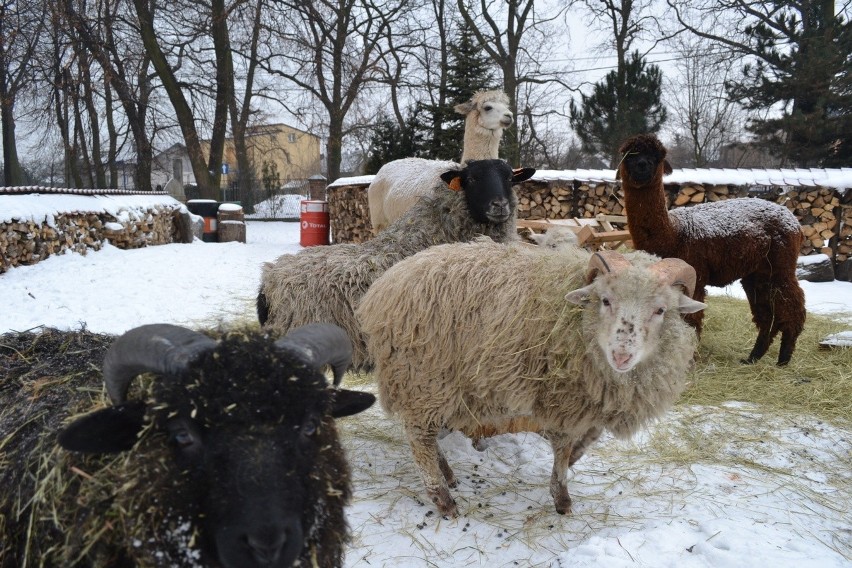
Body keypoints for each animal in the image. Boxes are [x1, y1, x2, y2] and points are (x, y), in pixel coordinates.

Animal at [354, 242, 704, 516]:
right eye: (606, 300)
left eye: (660, 310)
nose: (621, 355)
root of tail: (381, 289)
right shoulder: (564, 397)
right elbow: (563, 446)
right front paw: (561, 495)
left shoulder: (594, 401)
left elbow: (588, 438)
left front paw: (573, 463)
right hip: (424, 376)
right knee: (419, 438)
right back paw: (443, 498)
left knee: (427, 433)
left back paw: (447, 474)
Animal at [620, 132, 804, 364]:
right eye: (629, 154)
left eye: (657, 156)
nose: (642, 165)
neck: (673, 234)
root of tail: (794, 221)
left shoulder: (696, 278)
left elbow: (691, 320)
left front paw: (689, 359)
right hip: (757, 274)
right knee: (767, 314)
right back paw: (753, 357)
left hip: (781, 266)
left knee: (793, 306)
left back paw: (783, 359)